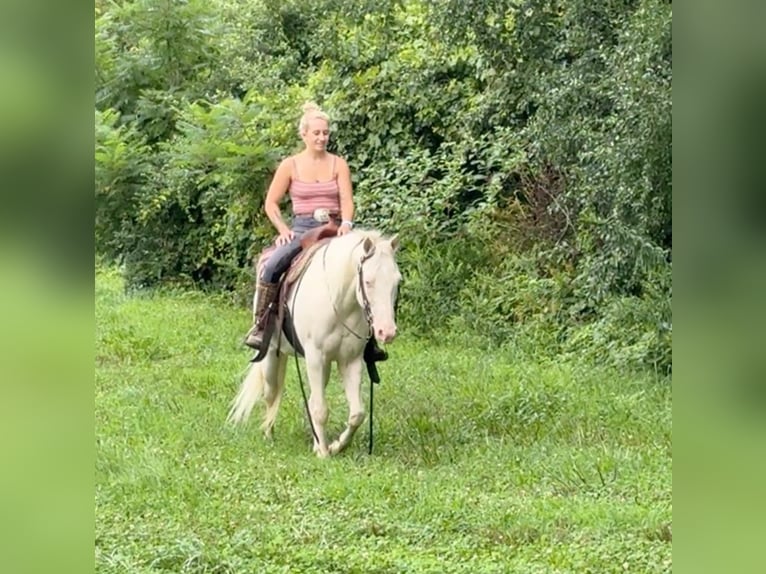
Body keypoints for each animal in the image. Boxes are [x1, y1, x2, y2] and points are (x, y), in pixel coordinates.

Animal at [226, 230, 402, 460]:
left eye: (397, 281)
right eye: (369, 281)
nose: (386, 332)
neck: (339, 302)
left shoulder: (351, 360)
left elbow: (357, 413)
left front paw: (335, 446)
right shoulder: (316, 358)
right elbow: (320, 409)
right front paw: (324, 453)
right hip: (271, 353)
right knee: (271, 392)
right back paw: (268, 434)